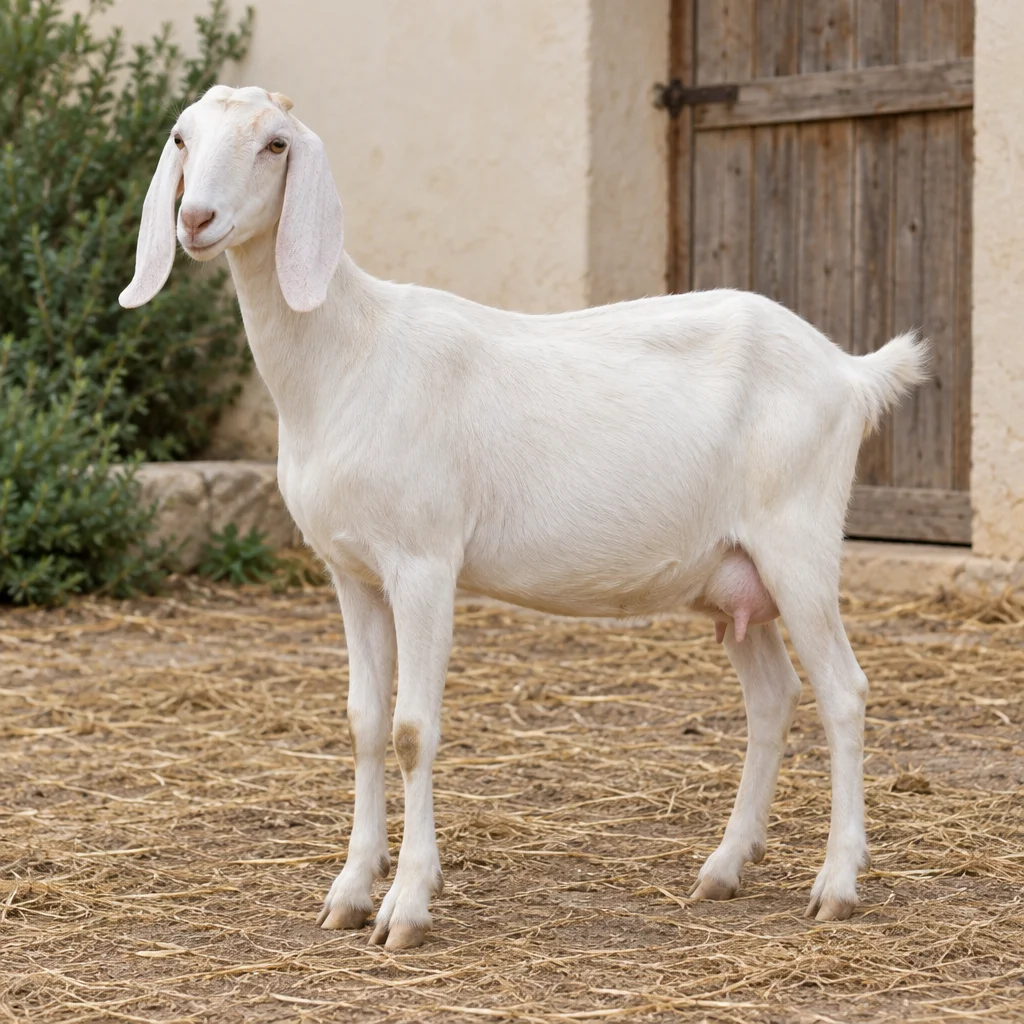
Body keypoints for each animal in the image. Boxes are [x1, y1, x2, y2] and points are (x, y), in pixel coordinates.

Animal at [121, 86, 929, 950]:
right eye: (182, 138)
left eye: (275, 144)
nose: (196, 218)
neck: (348, 357)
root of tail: (849, 372)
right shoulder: (351, 571)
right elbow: (365, 722)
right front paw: (349, 893)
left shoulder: (424, 562)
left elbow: (412, 730)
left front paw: (406, 906)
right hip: (732, 574)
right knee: (774, 698)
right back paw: (723, 868)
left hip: (799, 542)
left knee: (844, 692)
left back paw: (837, 883)